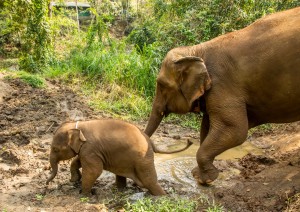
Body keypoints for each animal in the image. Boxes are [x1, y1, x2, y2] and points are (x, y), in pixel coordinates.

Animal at [47, 119, 192, 195]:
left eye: (55, 149)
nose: (47, 184)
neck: (77, 126)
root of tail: (150, 141)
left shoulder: (90, 149)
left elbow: (95, 170)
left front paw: (84, 194)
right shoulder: (87, 150)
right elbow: (78, 160)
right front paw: (74, 180)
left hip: (143, 160)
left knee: (149, 181)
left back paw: (161, 196)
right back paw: (119, 190)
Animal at [144, 7, 298, 185]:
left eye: (161, 85)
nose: (188, 141)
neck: (196, 50)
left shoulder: (222, 84)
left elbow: (234, 129)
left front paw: (204, 179)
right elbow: (207, 126)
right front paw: (198, 175)